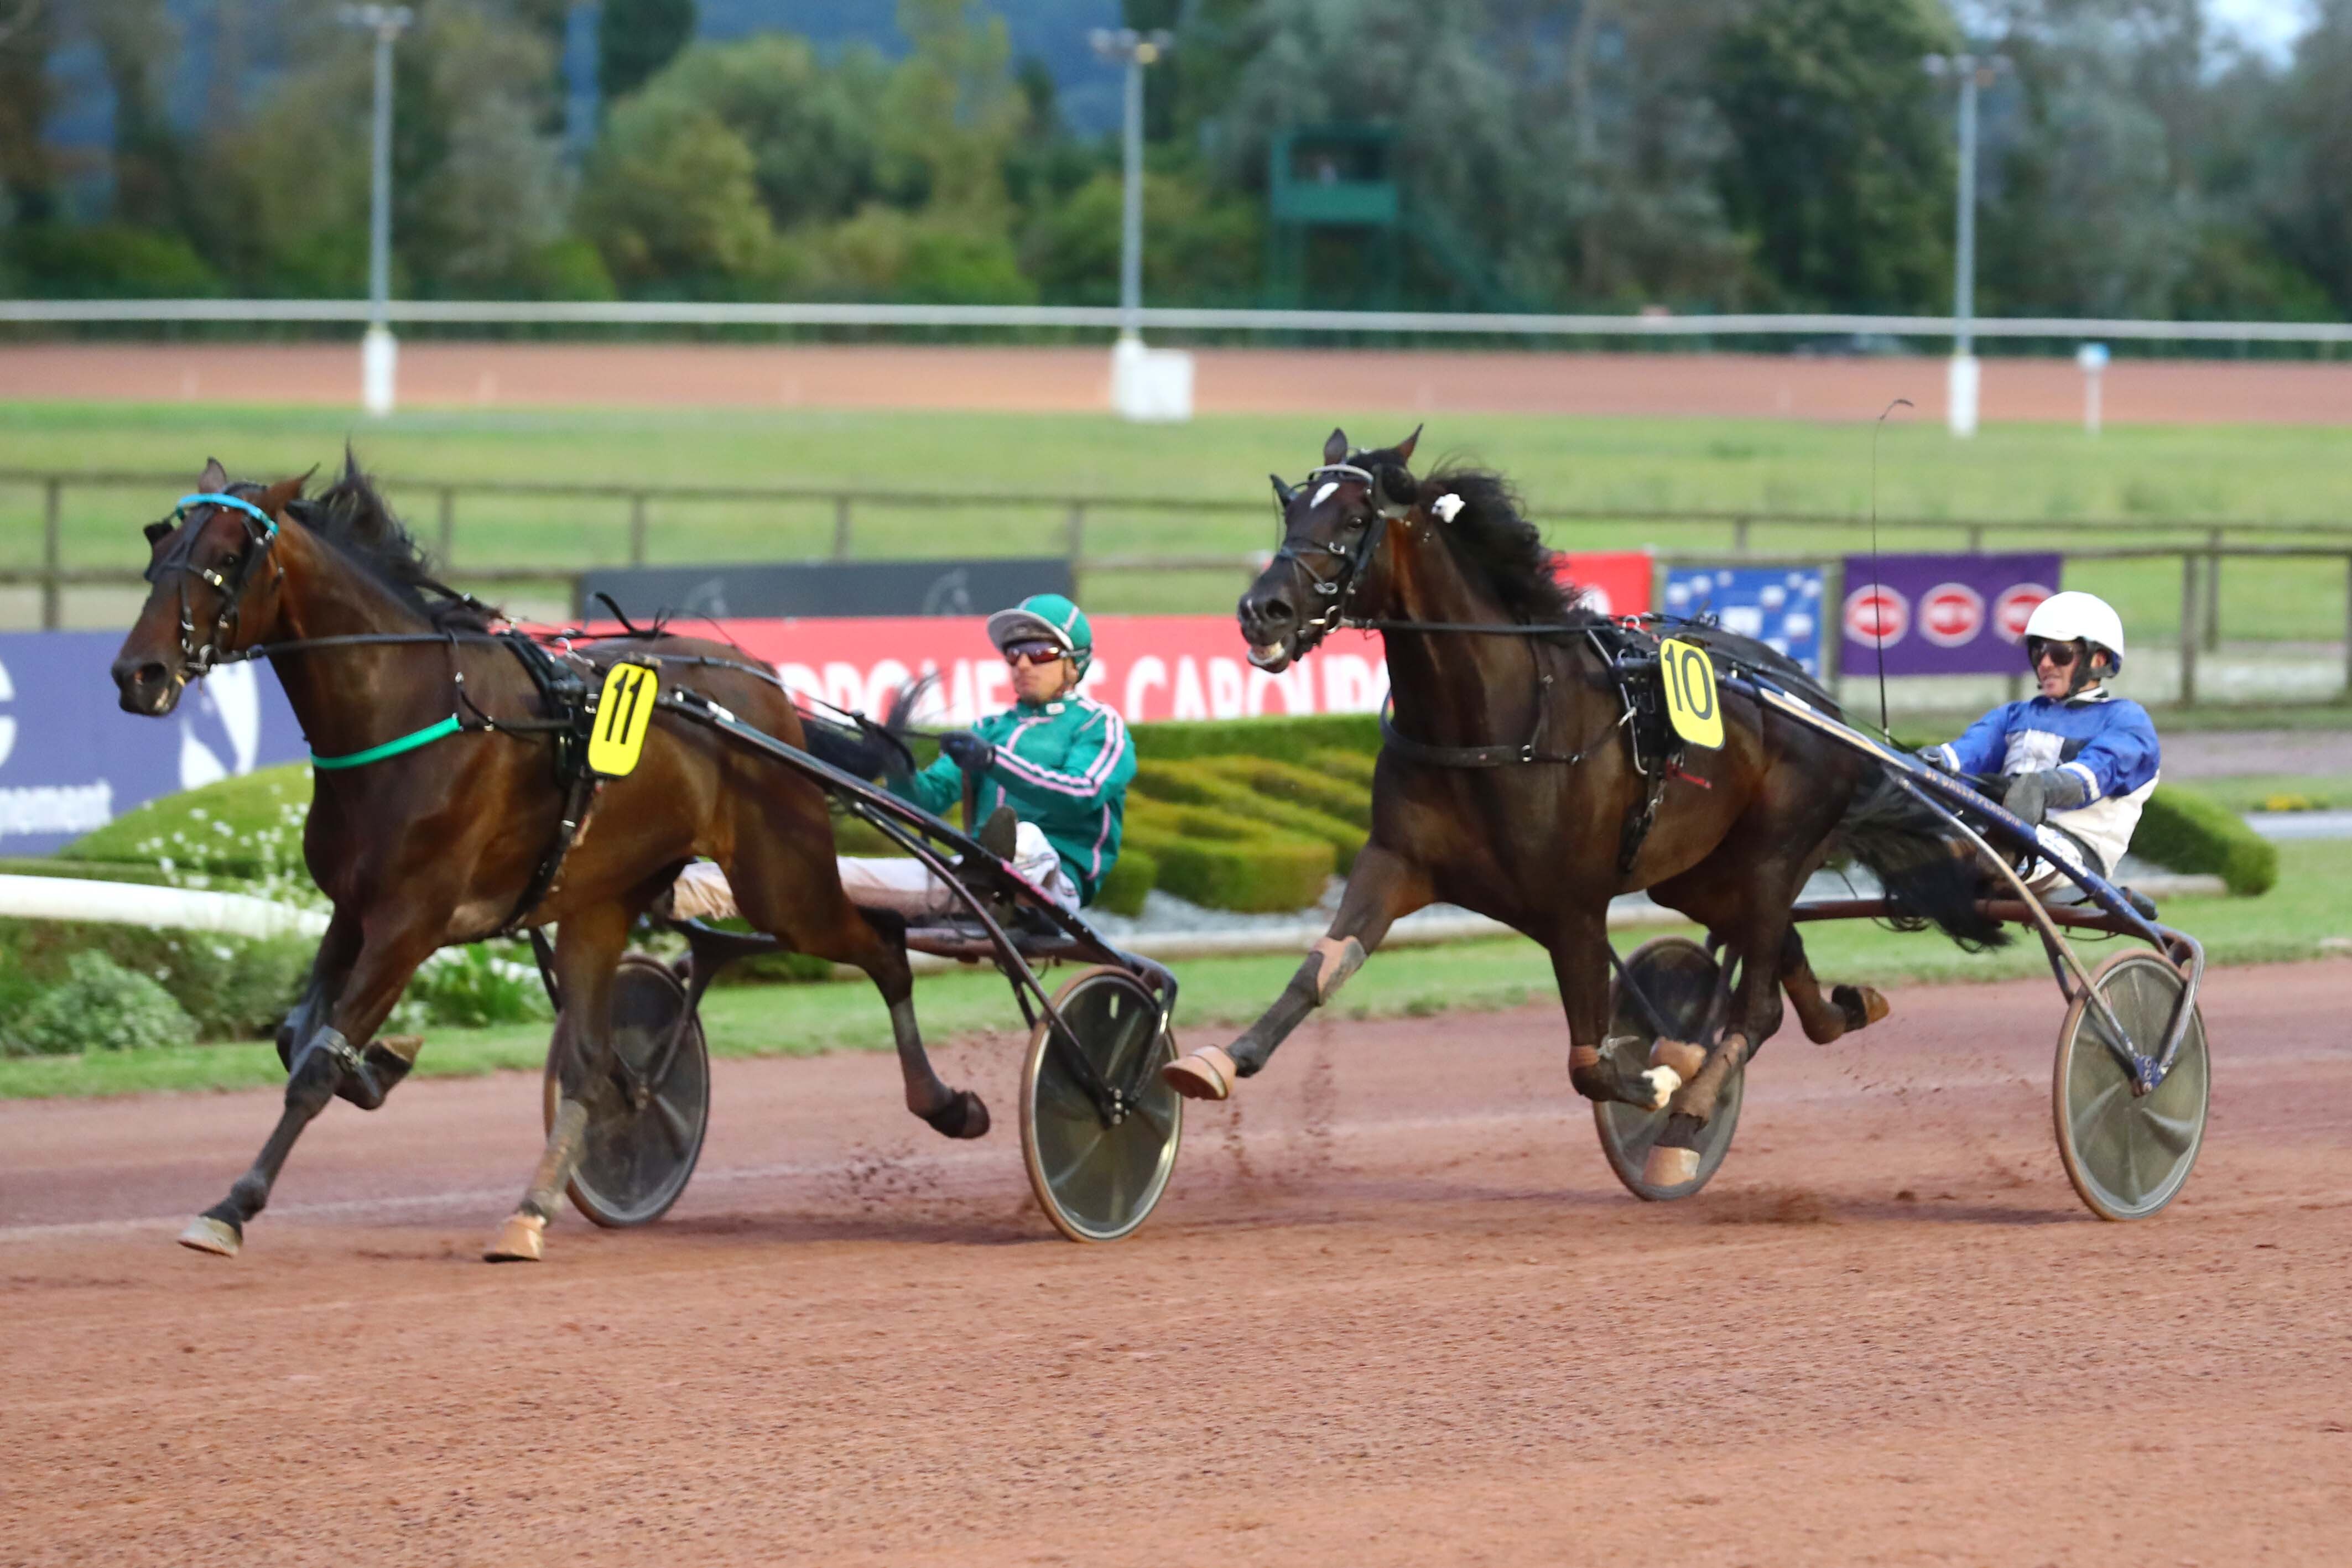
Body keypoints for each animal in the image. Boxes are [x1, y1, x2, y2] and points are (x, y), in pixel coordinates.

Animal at [110, 456, 983, 1260]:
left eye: (227, 557)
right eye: (159, 545)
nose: (136, 674)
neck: (412, 708)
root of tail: (761, 682)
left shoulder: (410, 921)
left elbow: (315, 1068)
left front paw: (231, 1207)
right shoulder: (353, 909)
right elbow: (299, 1037)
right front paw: (379, 1064)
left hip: (785, 883)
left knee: (886, 949)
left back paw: (948, 1102)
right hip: (603, 899)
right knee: (595, 1066)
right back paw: (530, 1211)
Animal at [1162, 430, 2004, 1189]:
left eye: (1355, 518)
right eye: (1291, 508)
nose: (1262, 610)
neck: (1497, 722)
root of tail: (1814, 698)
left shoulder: (1574, 903)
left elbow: (1590, 1065)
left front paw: (1661, 1081)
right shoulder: (1396, 860)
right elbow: (1321, 969)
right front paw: (1218, 1059)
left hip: (1772, 853)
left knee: (1757, 1006)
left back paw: (1686, 1122)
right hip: (1702, 874)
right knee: (1782, 965)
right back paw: (1846, 1008)